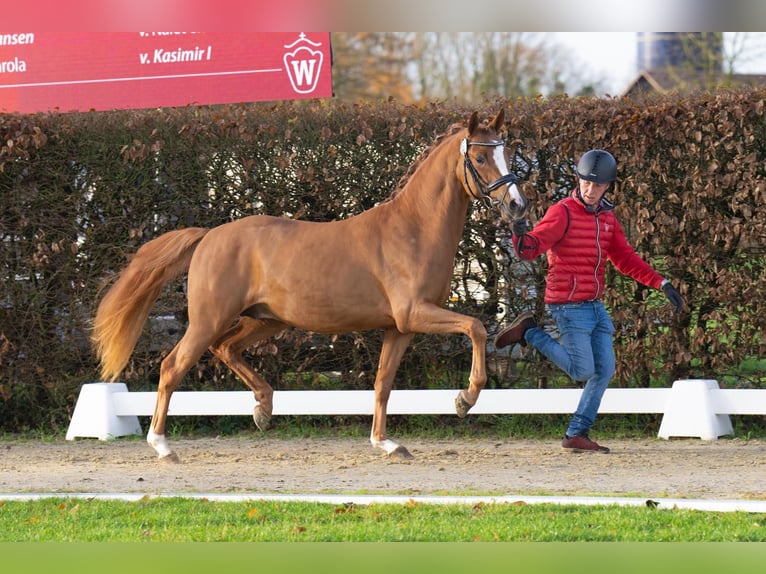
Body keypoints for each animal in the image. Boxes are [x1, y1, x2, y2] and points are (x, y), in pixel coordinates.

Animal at [91, 109, 527, 462]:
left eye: (507, 154)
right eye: (480, 157)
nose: (517, 206)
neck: (414, 230)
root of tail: (209, 236)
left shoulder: (399, 327)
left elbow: (383, 382)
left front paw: (386, 443)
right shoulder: (416, 314)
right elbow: (476, 327)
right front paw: (465, 399)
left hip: (266, 320)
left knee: (225, 348)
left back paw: (263, 409)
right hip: (208, 320)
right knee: (172, 367)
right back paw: (163, 446)